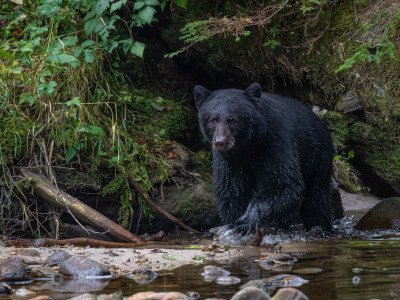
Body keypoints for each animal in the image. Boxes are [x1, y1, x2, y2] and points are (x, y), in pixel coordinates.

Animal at [194, 83, 334, 233]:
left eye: (232, 120)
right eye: (213, 120)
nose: (221, 141)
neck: (248, 146)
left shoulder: (275, 141)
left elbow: (284, 183)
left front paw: (246, 220)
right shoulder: (229, 159)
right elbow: (231, 188)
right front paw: (233, 222)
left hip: (317, 157)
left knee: (316, 201)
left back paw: (320, 227)